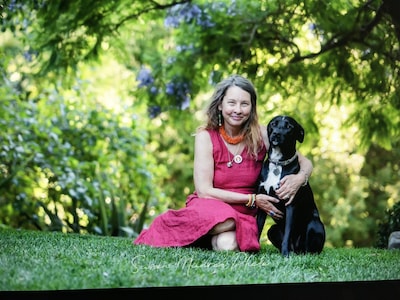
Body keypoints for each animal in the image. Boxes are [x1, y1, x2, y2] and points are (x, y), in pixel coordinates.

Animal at [256, 115, 324, 255]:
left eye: (289, 127)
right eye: (273, 124)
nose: (276, 134)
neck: (278, 163)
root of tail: (297, 249)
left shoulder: (290, 205)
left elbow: (287, 233)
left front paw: (285, 253)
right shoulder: (263, 202)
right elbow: (257, 228)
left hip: (314, 224)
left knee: (309, 250)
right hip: (272, 229)